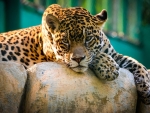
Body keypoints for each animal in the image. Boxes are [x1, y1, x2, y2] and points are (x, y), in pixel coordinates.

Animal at [0, 3, 150, 104]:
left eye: (88, 38)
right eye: (66, 41)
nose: (78, 59)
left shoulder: (114, 54)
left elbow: (135, 62)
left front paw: (146, 86)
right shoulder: (57, 57)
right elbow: (92, 58)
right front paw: (108, 67)